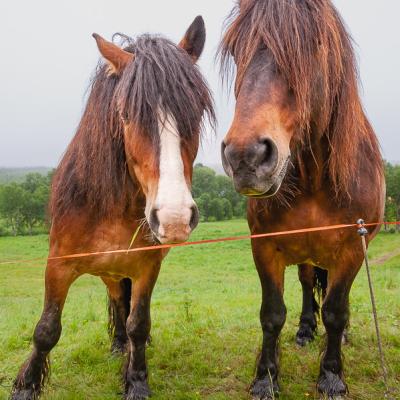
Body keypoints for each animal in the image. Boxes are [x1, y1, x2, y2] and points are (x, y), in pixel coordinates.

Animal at [10, 16, 214, 400]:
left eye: (194, 113)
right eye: (127, 114)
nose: (174, 217)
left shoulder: (147, 266)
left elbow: (138, 322)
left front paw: (136, 380)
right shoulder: (58, 265)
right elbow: (47, 328)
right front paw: (25, 386)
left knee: (126, 307)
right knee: (117, 301)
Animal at [220, 1, 386, 398]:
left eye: (313, 47)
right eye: (234, 50)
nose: (245, 157)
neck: (315, 181)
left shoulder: (352, 249)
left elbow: (337, 311)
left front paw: (331, 376)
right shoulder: (265, 246)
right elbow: (272, 313)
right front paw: (265, 379)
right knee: (309, 283)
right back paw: (307, 329)